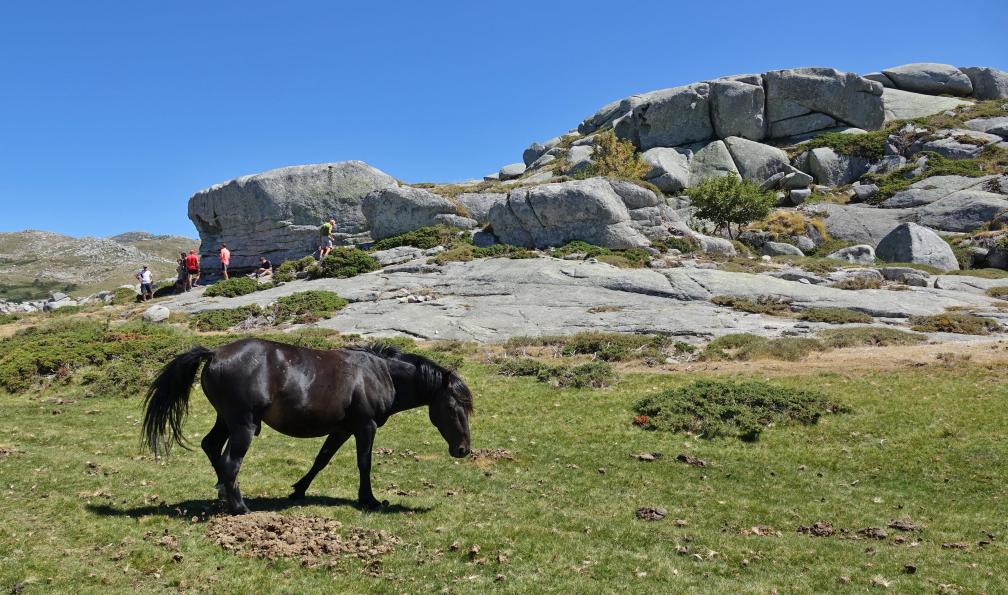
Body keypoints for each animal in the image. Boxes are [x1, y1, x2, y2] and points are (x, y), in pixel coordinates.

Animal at [141, 338, 473, 514]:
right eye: (454, 406)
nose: (463, 450)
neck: (380, 374)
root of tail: (214, 354)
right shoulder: (365, 426)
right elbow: (364, 463)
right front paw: (369, 500)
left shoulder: (341, 429)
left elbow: (321, 459)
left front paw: (298, 490)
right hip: (243, 425)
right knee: (229, 461)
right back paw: (240, 507)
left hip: (226, 420)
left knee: (211, 447)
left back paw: (224, 492)